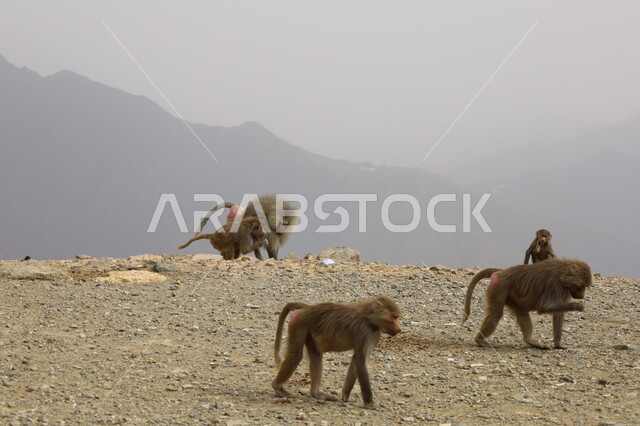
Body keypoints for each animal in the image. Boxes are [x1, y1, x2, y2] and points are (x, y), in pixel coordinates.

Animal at [272, 296, 401, 408]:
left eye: (397, 317)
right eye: (394, 317)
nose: (399, 329)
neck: (369, 318)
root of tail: (307, 308)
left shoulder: (373, 335)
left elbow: (355, 361)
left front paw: (345, 395)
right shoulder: (364, 332)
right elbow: (361, 361)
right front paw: (369, 403)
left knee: (316, 355)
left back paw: (316, 393)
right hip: (300, 323)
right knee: (296, 356)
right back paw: (278, 388)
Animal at [462, 259, 592, 349]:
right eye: (582, 287)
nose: (582, 296)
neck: (563, 273)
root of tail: (502, 272)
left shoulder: (565, 290)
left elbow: (557, 313)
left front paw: (558, 344)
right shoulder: (555, 287)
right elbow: (544, 307)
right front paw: (578, 306)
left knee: (522, 312)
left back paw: (530, 341)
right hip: (499, 286)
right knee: (495, 315)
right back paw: (480, 341)